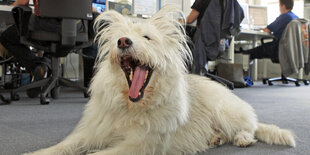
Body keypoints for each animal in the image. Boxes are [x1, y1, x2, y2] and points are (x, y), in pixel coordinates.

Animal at [24, 6, 296, 155]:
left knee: (248, 129)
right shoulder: (92, 132)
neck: (131, 107)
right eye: (120, 38)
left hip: (225, 110)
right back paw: (215, 138)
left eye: (147, 37)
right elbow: (62, 147)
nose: (123, 41)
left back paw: (242, 138)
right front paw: (35, 153)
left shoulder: (138, 145)